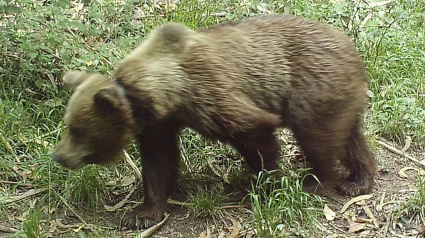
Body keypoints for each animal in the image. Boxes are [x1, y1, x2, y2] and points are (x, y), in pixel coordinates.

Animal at [52, 14, 374, 229]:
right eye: (68, 125)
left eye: (77, 130)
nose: (58, 156)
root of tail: (352, 47)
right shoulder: (159, 125)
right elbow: (159, 163)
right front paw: (142, 214)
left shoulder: (211, 95)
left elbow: (257, 135)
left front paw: (262, 184)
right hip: (338, 97)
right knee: (351, 138)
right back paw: (357, 182)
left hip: (312, 88)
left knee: (317, 138)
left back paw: (314, 181)